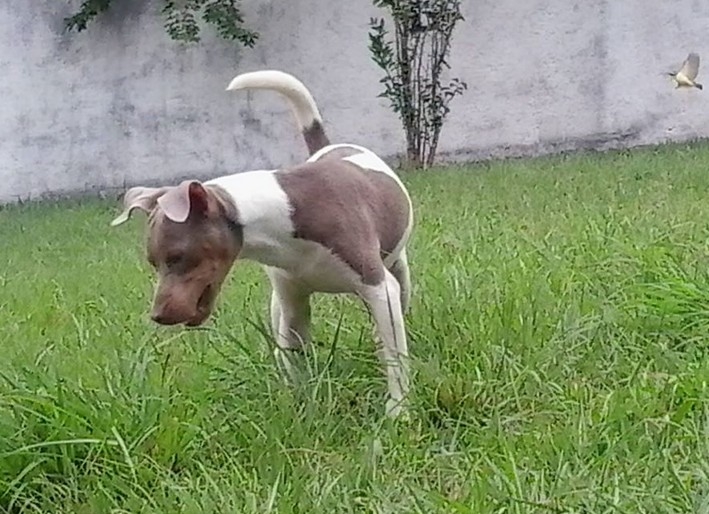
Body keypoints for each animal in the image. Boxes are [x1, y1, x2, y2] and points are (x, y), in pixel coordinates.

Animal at [110, 70, 414, 416]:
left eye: (177, 257)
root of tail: (331, 145)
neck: (284, 211)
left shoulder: (379, 288)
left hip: (398, 275)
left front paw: (397, 411)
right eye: (153, 262)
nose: (157, 317)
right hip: (278, 303)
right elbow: (294, 355)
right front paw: (298, 406)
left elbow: (395, 359)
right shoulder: (293, 301)